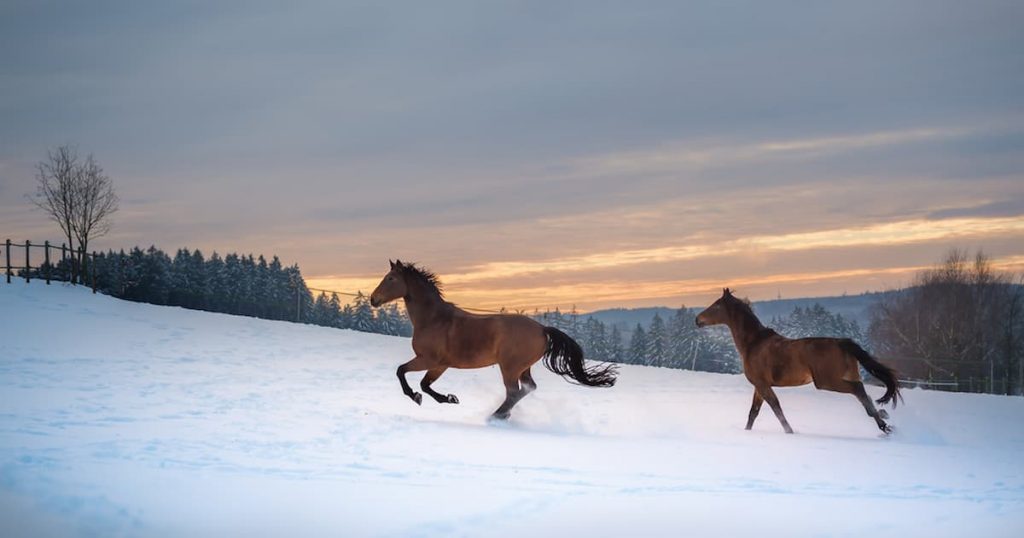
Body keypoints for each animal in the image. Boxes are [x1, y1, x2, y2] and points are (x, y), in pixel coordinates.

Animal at [366, 260, 610, 420]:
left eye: (390, 278)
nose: (373, 299)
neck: (434, 319)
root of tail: (542, 329)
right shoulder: (441, 365)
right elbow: (425, 385)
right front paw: (449, 398)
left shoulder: (429, 360)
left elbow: (403, 372)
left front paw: (417, 396)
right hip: (523, 367)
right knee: (527, 388)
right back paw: (502, 414)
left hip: (509, 367)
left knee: (513, 392)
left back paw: (496, 416)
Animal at [692, 286, 901, 434]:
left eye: (716, 305)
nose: (697, 320)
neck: (753, 343)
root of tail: (842, 343)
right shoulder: (759, 386)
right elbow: (753, 413)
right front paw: (747, 432)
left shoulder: (762, 384)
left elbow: (776, 409)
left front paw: (790, 432)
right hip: (846, 376)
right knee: (863, 393)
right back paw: (883, 419)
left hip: (826, 381)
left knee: (858, 391)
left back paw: (884, 425)